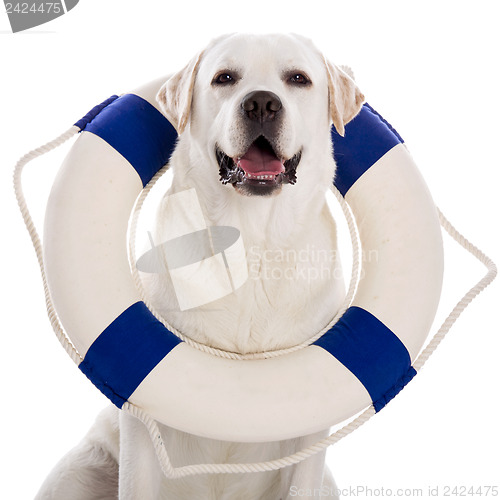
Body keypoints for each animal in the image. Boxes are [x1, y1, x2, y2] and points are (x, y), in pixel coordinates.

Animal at [36, 32, 364, 500]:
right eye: (224, 78)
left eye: (298, 78)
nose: (261, 103)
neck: (251, 240)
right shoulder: (142, 417)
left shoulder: (311, 433)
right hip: (80, 467)